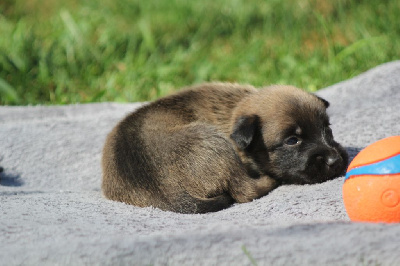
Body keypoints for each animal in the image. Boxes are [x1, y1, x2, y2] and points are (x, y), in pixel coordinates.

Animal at [101, 83, 348, 214]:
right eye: (292, 140)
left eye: (327, 129)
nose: (335, 160)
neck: (230, 113)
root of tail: (165, 194)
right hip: (214, 143)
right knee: (244, 190)